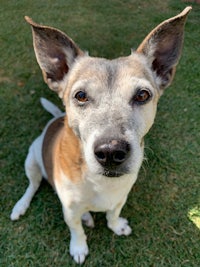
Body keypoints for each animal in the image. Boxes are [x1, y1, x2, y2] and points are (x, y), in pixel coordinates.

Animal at [10, 7, 191, 264]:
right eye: (81, 95)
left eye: (143, 95)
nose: (111, 152)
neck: (100, 181)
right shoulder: (69, 210)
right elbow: (75, 228)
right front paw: (78, 247)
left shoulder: (120, 197)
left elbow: (113, 214)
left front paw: (116, 226)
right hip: (32, 161)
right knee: (32, 186)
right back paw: (21, 206)